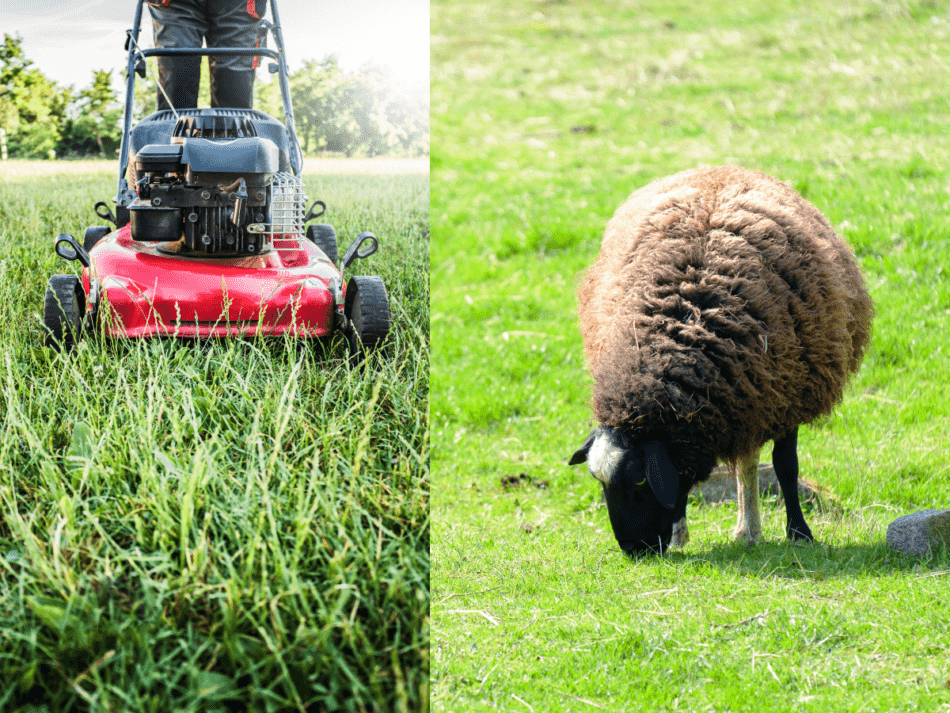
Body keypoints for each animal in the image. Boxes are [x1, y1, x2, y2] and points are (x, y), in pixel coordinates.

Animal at [568, 164, 872, 552]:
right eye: (599, 480)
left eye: (638, 480)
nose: (635, 552)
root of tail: (720, 168)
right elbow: (680, 481)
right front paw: (679, 530)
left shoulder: (788, 395)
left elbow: (786, 466)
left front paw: (800, 533)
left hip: (759, 395)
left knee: (749, 463)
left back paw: (749, 529)